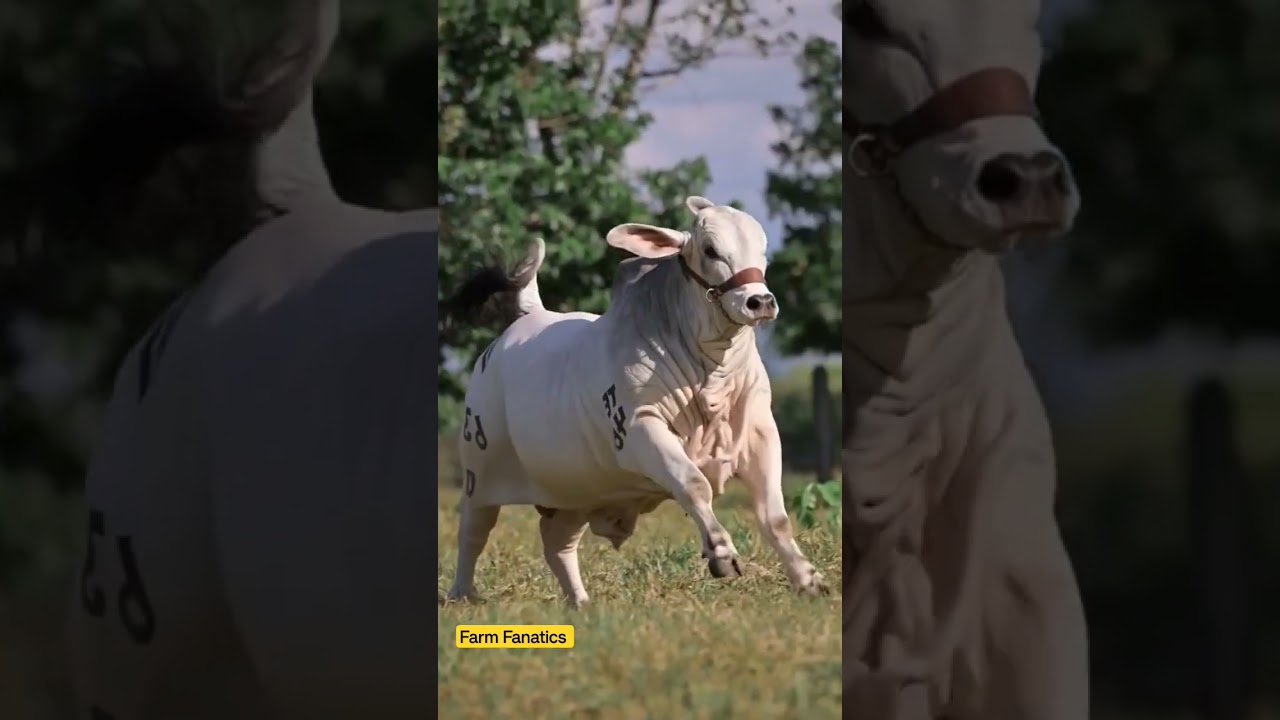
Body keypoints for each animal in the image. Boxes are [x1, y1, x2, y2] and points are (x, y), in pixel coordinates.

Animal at [442, 197, 827, 608]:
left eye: (762, 248)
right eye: (710, 249)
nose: (760, 302)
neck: (711, 373)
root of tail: (524, 318)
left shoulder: (760, 434)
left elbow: (775, 516)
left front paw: (807, 578)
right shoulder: (639, 427)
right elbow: (694, 485)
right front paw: (722, 554)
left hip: (576, 490)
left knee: (557, 544)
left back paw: (581, 602)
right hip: (479, 470)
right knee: (473, 532)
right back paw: (461, 594)